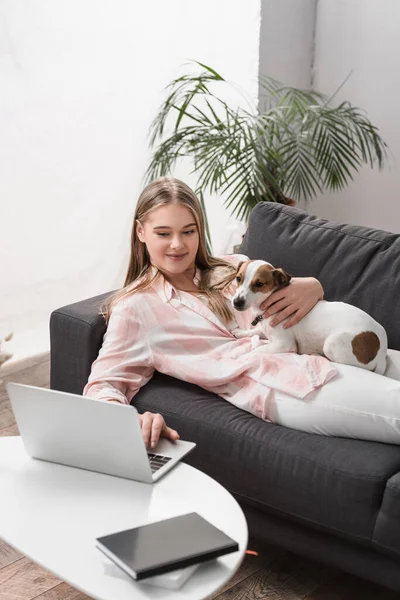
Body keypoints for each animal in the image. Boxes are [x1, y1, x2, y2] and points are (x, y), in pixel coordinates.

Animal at [228, 258, 388, 372]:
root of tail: (382, 350)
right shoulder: (266, 328)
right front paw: (242, 332)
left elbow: (258, 349)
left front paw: (242, 356)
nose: (237, 302)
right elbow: (255, 331)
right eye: (238, 278)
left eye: (259, 284)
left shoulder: (285, 344)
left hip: (332, 343)